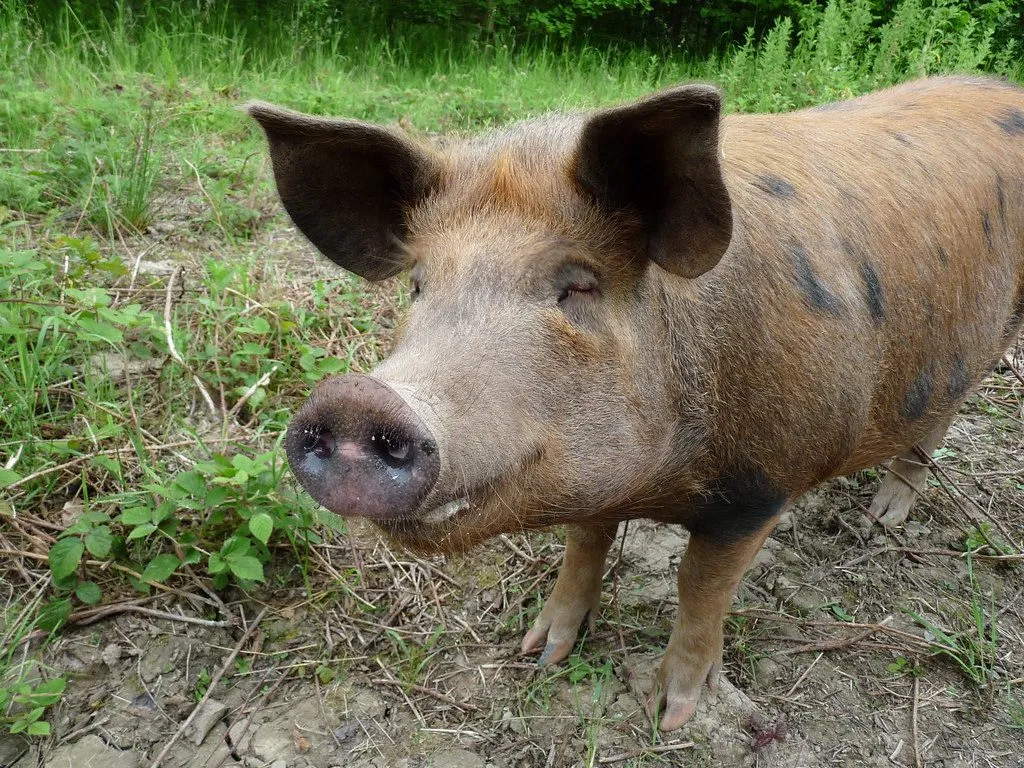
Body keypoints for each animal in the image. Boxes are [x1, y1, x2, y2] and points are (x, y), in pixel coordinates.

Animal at [248, 75, 1024, 731]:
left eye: (578, 285)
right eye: (418, 284)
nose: (357, 399)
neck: (658, 484)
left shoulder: (760, 489)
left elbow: (698, 586)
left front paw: (669, 715)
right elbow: (584, 544)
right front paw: (540, 651)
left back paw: (880, 520)